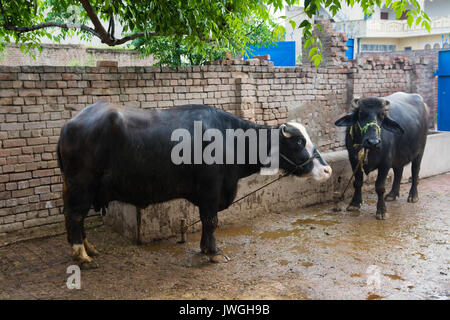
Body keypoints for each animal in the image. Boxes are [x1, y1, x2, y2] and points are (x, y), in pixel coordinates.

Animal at [56, 102, 332, 268]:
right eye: (299, 143)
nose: (327, 170)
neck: (230, 139)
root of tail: (70, 124)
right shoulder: (211, 190)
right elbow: (211, 221)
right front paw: (214, 252)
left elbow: (205, 221)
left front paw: (204, 248)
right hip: (81, 185)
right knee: (74, 216)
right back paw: (81, 255)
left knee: (76, 217)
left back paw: (89, 248)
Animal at [334, 91, 428, 219]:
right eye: (361, 113)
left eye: (382, 115)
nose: (373, 142)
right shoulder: (353, 159)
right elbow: (357, 182)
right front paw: (354, 204)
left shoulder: (385, 163)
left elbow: (380, 187)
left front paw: (382, 211)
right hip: (398, 156)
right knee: (398, 172)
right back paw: (392, 194)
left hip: (419, 152)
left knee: (415, 171)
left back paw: (413, 196)